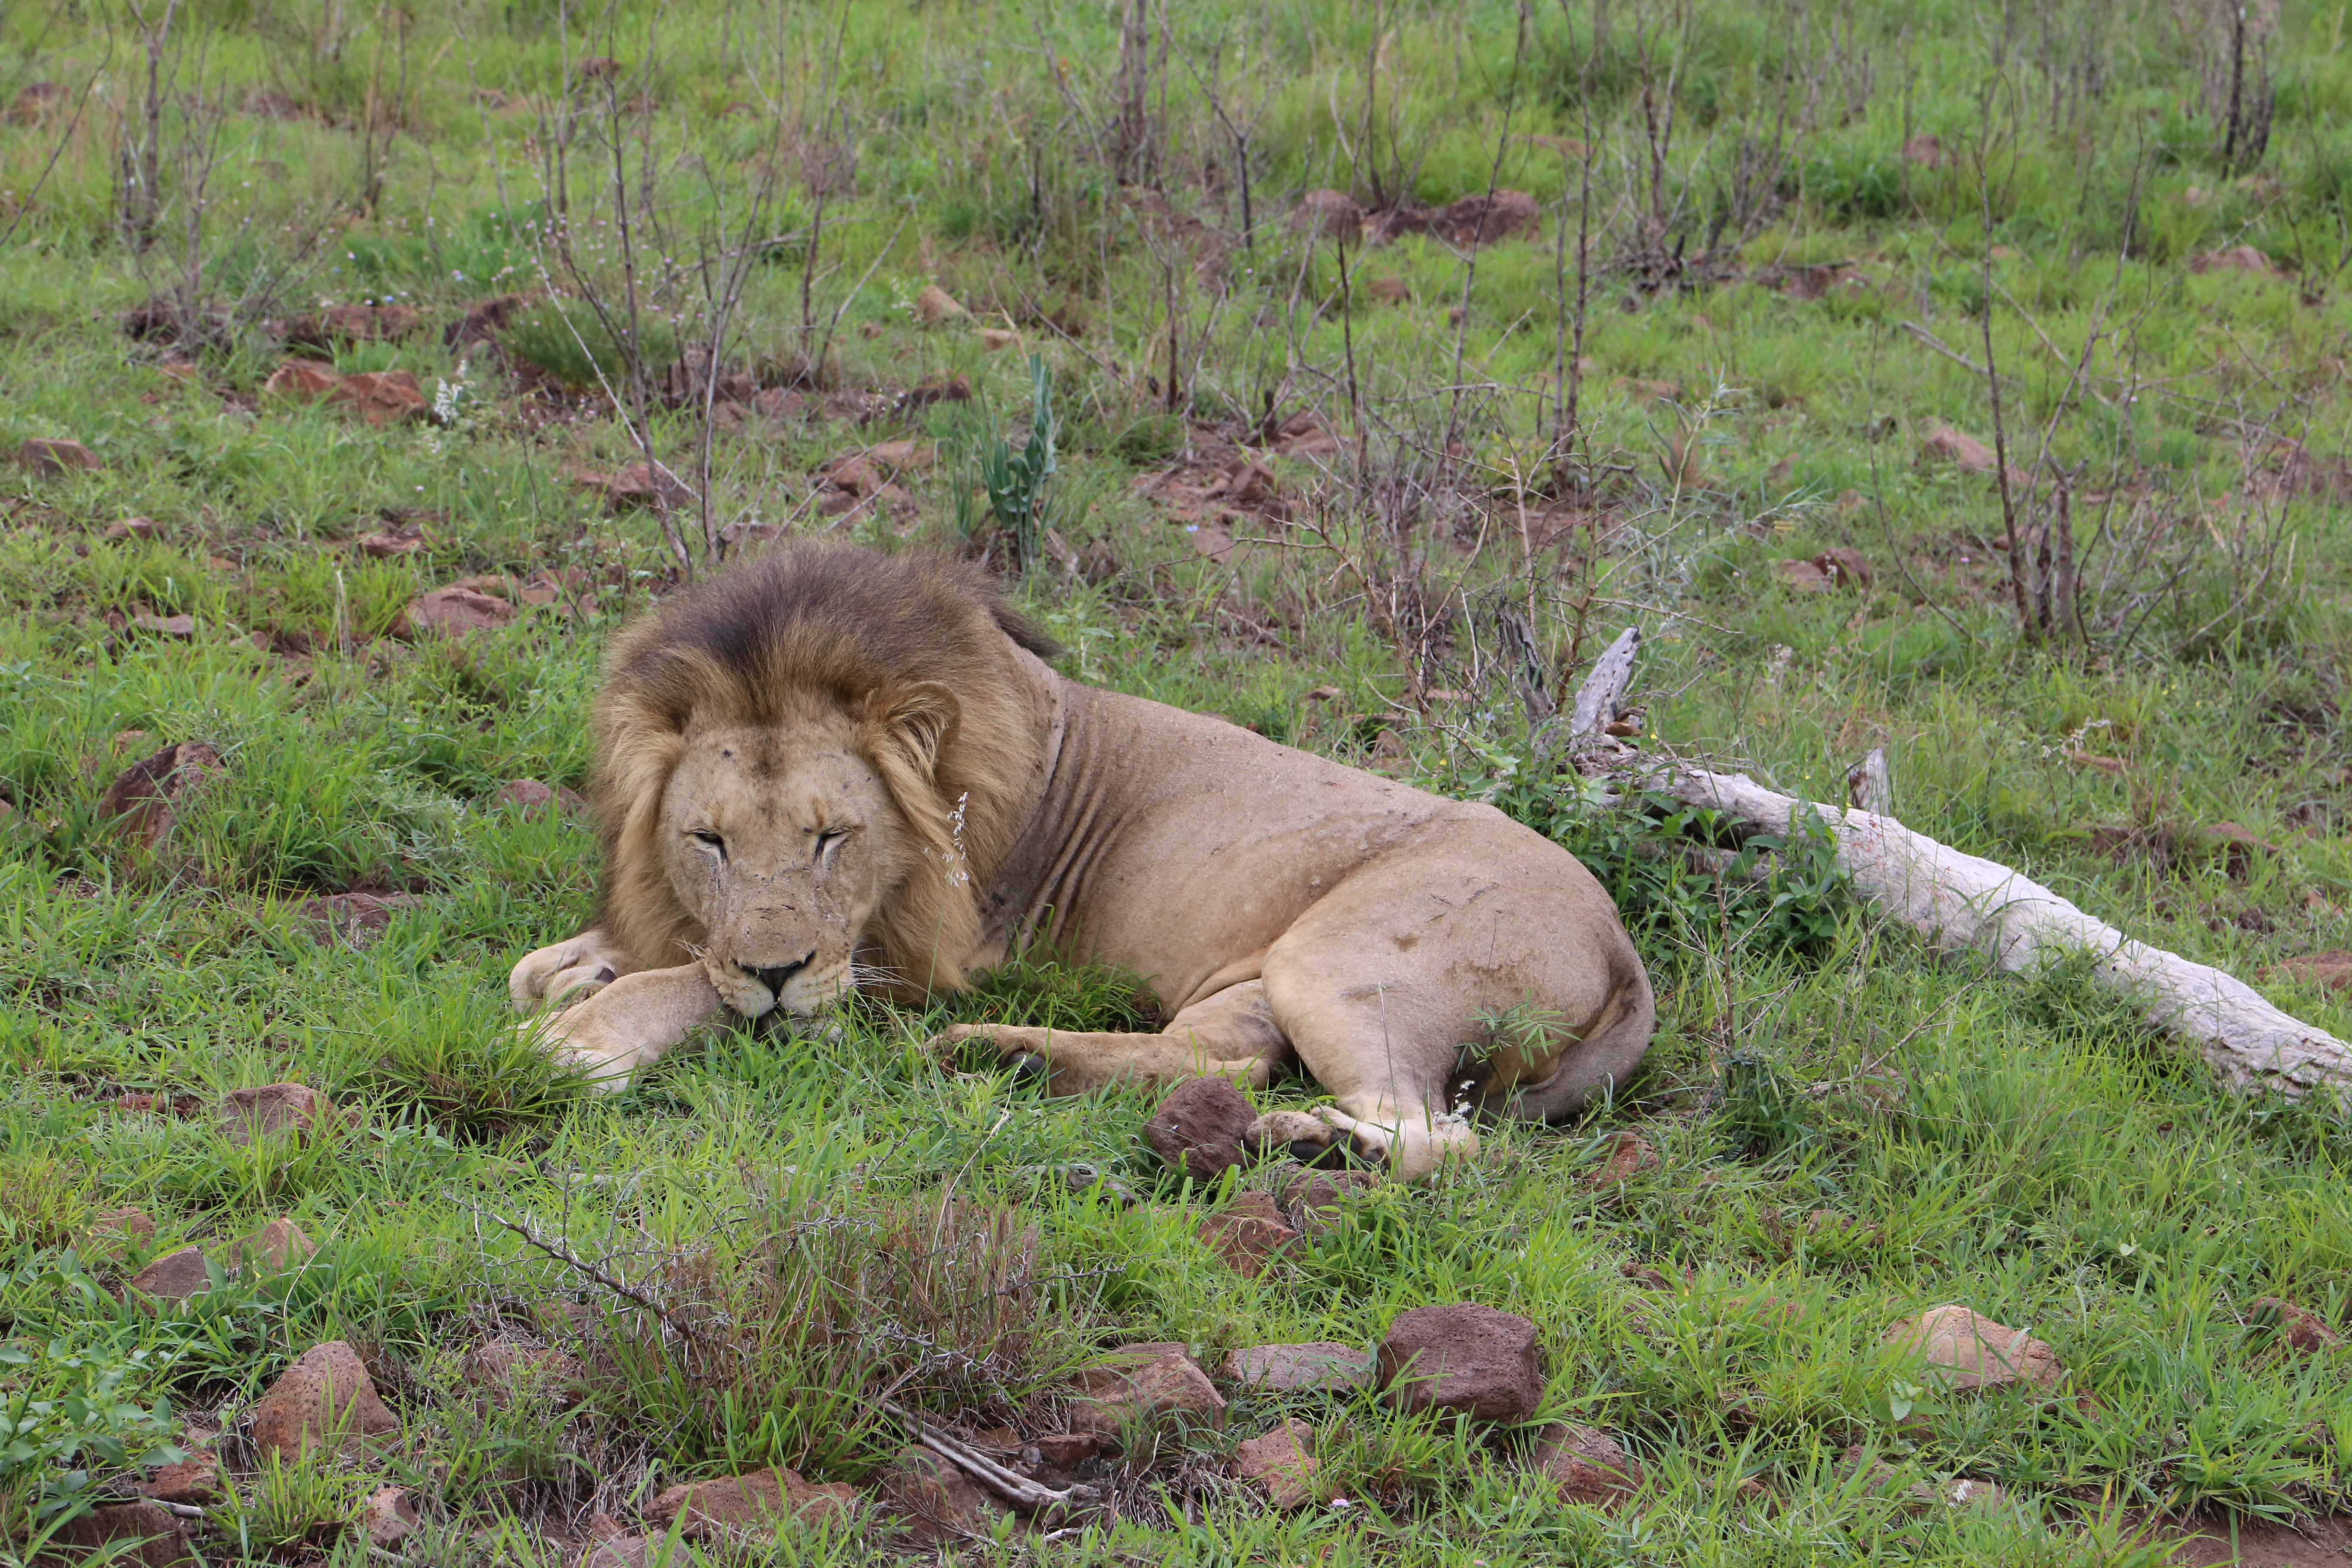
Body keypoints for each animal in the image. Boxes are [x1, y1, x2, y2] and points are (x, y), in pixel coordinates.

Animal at [515, 545, 1656, 1170]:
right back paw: (1002, 1057)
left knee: (1442, 1139)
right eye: (708, 840)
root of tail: (1623, 951)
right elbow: (604, 959)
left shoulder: (907, 963)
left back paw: (1318, 1144)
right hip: (1265, 978)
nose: (774, 971)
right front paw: (577, 969)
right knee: (1215, 1058)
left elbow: (695, 987)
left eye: (830, 837)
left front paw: (580, 1040)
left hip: (1337, 959)